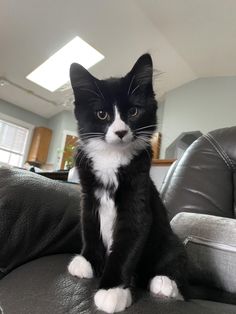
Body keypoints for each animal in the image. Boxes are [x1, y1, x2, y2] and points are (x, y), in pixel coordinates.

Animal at [67, 54, 188, 314]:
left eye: (133, 111)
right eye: (102, 114)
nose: (121, 132)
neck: (111, 157)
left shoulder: (138, 197)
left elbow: (127, 243)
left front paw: (112, 290)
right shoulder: (88, 197)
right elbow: (89, 227)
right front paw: (88, 261)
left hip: (170, 240)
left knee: (175, 260)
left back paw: (165, 283)